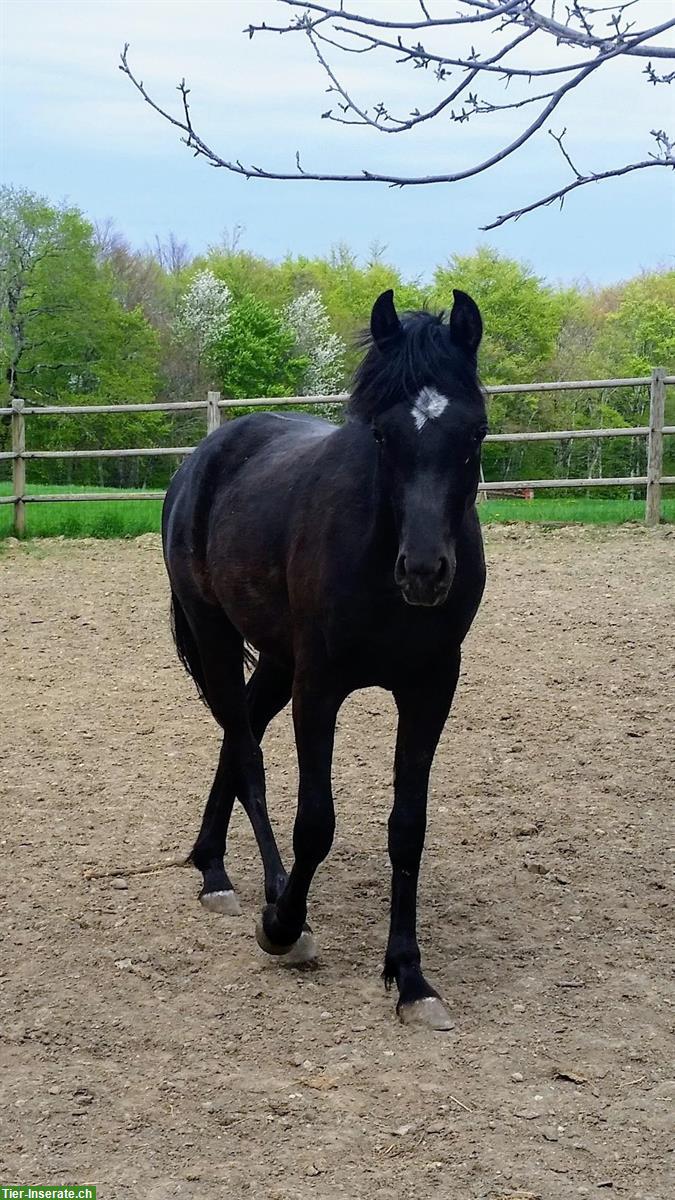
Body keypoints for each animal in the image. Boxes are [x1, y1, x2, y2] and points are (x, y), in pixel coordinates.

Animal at [159, 290, 485, 1032]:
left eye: (476, 434)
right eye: (383, 437)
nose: (424, 572)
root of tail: (203, 457)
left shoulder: (430, 689)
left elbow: (408, 828)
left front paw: (411, 978)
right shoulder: (321, 688)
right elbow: (315, 821)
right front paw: (282, 926)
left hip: (276, 662)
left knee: (237, 737)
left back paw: (212, 865)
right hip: (219, 637)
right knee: (246, 755)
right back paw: (267, 894)